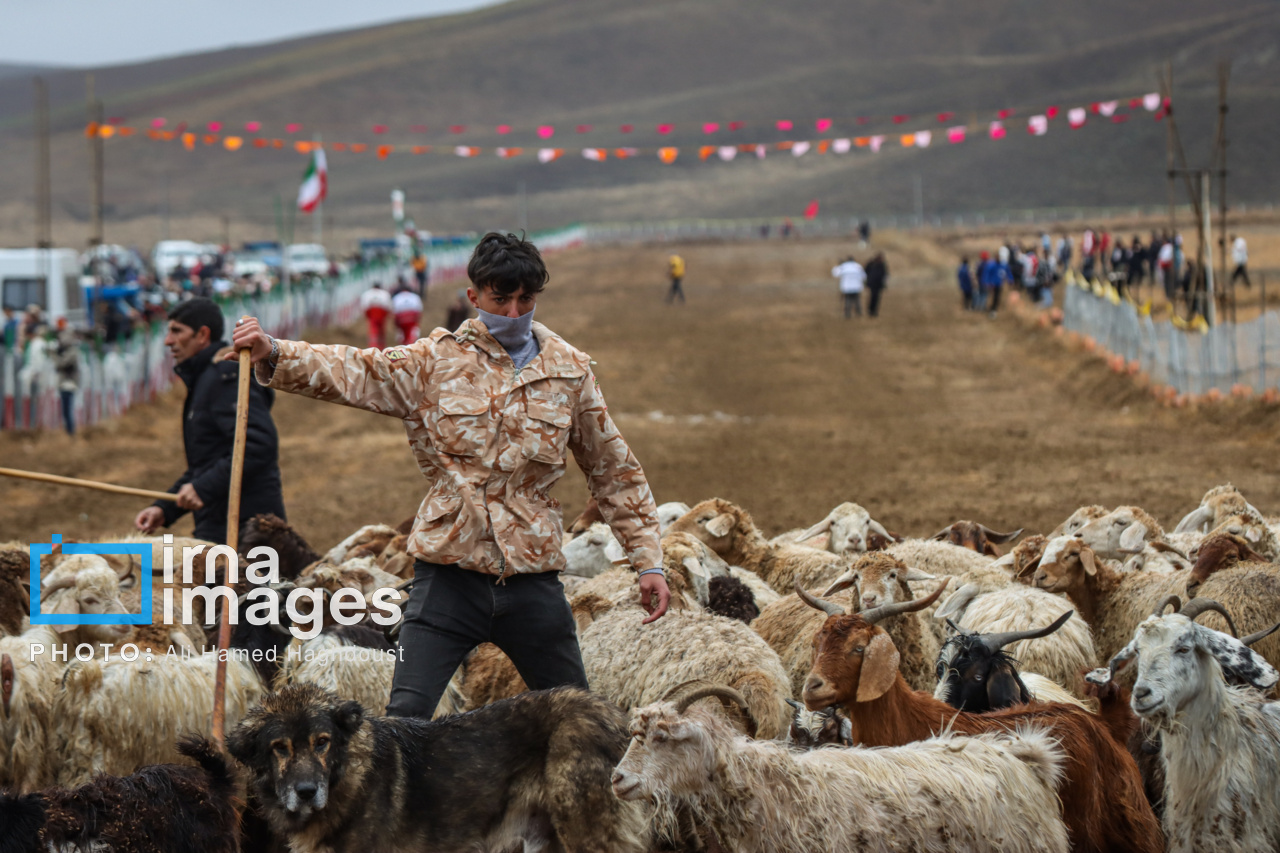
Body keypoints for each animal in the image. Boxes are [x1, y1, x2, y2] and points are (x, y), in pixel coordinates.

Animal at [226, 681, 650, 853]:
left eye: (322, 742)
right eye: (280, 748)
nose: (306, 792)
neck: (347, 777)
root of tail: (611, 713)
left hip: (586, 832)